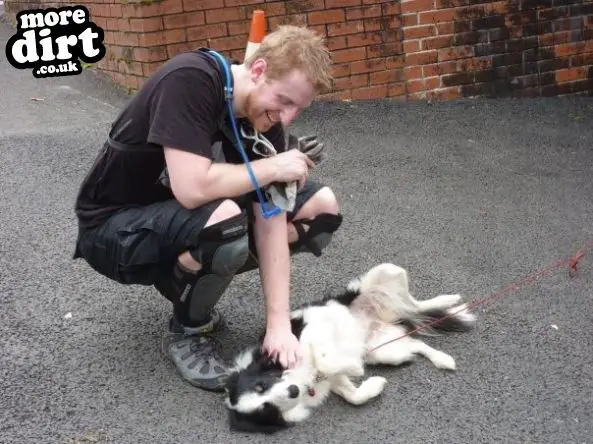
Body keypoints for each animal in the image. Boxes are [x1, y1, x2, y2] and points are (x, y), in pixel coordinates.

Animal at [222, 264, 476, 434]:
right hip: (382, 350)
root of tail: (375, 319)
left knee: (413, 303)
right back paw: (442, 358)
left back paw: (450, 300)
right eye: (267, 409)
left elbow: (323, 358)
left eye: (261, 385)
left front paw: (354, 368)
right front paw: (374, 384)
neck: (304, 378)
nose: (293, 391)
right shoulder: (332, 381)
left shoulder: (309, 328)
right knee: (416, 341)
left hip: (385, 274)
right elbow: (353, 395)